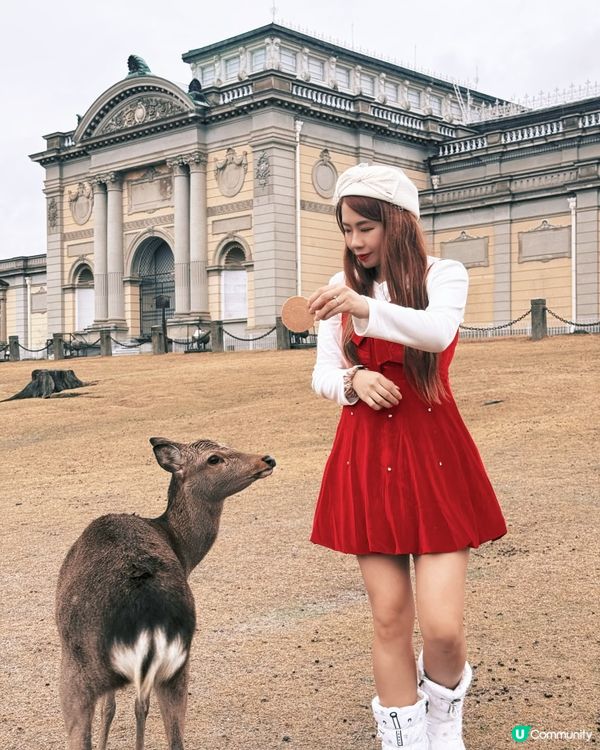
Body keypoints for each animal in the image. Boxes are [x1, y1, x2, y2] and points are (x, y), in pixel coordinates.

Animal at [55, 437, 276, 750]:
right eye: (214, 458)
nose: (266, 459)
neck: (182, 551)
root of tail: (148, 622)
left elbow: (113, 707)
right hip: (177, 667)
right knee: (174, 736)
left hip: (77, 672)